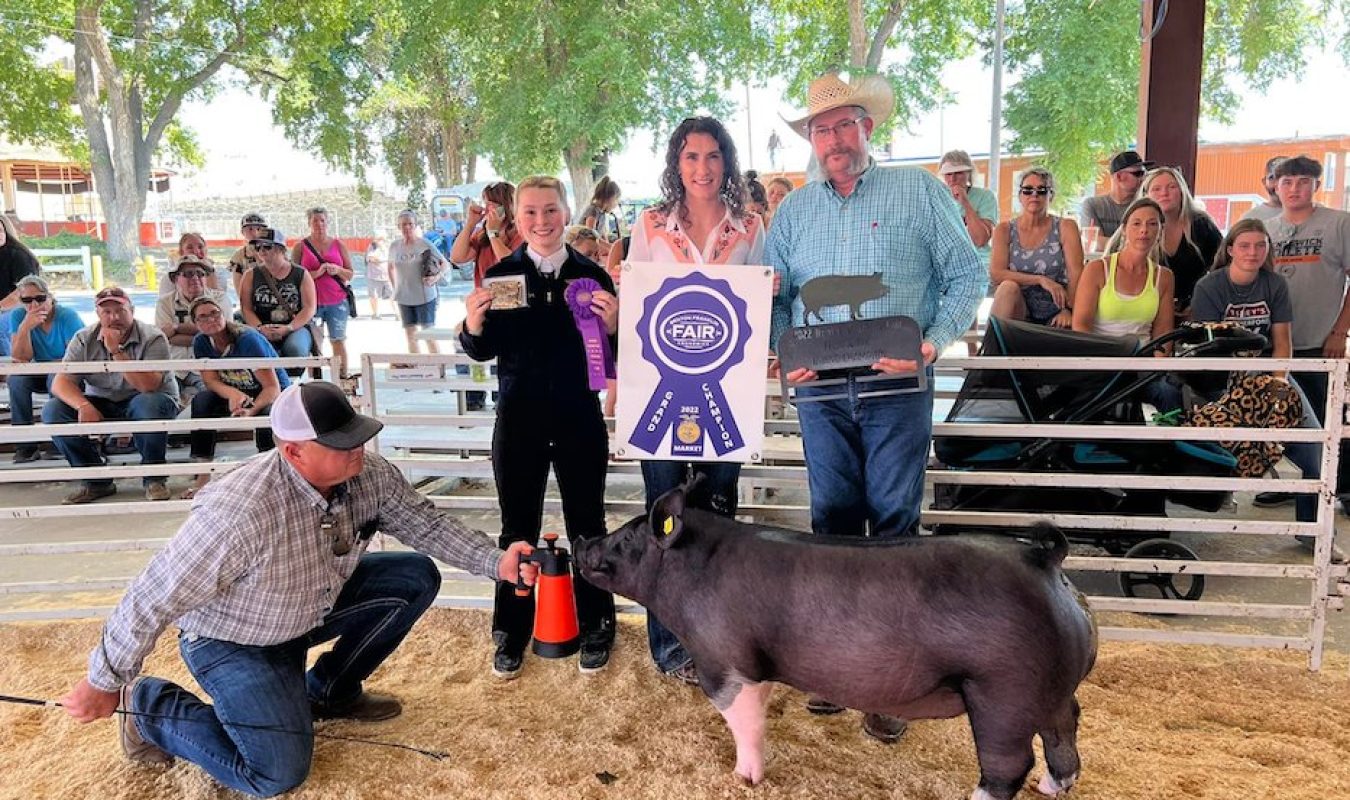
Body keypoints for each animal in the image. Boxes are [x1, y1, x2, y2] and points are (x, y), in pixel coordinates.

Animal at [569, 485, 1096, 798]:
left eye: (625, 540)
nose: (580, 542)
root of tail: (1047, 564)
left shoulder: (727, 659)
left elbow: (744, 720)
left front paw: (743, 778)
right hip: (1049, 686)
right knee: (1066, 723)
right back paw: (1054, 787)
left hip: (1003, 690)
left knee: (1010, 763)